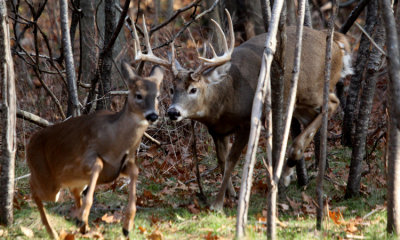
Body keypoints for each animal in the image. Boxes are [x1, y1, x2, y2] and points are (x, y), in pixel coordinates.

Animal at [27, 59, 164, 238]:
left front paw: (127, 226)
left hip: (69, 183)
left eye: (157, 96)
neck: (116, 141)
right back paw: (55, 231)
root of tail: (30, 142)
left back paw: (82, 226)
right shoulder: (87, 155)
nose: (153, 115)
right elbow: (98, 165)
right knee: (33, 189)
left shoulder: (122, 164)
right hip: (48, 182)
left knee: (73, 192)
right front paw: (85, 216)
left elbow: (135, 171)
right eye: (138, 95)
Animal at [166, 10, 354, 211]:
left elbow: (231, 160)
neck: (226, 99)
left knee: (332, 103)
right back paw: (288, 170)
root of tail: (337, 44)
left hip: (311, 90)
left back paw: (288, 167)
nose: (172, 112)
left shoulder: (247, 121)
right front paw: (230, 194)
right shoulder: (217, 130)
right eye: (171, 89)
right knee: (312, 117)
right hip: (300, 104)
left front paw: (217, 204)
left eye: (193, 89)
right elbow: (221, 160)